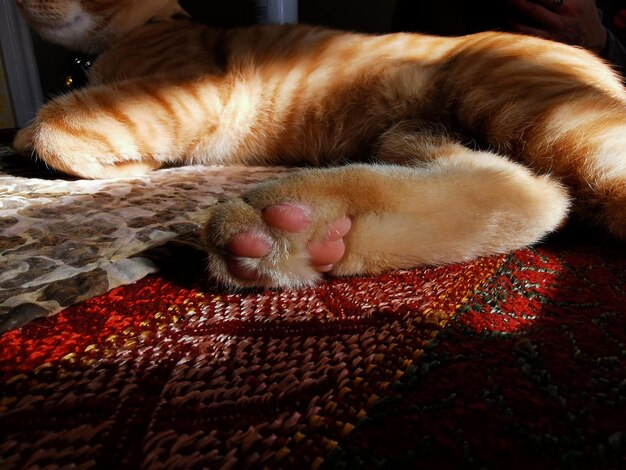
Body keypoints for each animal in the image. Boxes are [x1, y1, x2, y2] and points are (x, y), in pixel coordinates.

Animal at [13, 0, 624, 288]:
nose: (22, 5)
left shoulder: (197, 93)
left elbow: (56, 126)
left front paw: (121, 165)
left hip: (531, 107)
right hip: (413, 132)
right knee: (535, 195)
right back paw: (304, 230)